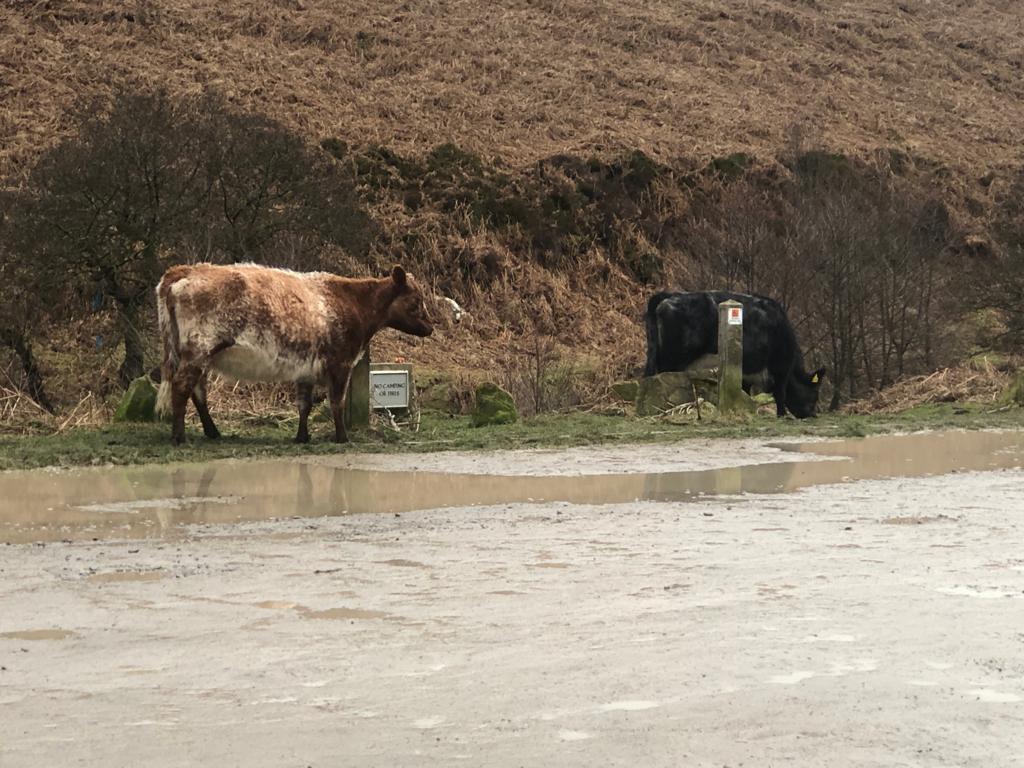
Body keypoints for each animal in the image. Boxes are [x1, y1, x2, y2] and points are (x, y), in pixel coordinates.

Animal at [154, 264, 432, 444]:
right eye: (416, 300)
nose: (430, 327)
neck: (352, 301)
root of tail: (185, 270)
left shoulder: (305, 368)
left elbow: (304, 404)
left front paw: (302, 437)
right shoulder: (340, 363)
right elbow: (337, 402)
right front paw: (342, 438)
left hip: (197, 356)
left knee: (198, 391)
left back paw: (212, 432)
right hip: (198, 351)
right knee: (182, 387)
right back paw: (179, 437)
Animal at [647, 290, 823, 421]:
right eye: (815, 394)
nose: (813, 415)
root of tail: (669, 296)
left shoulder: (746, 372)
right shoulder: (780, 366)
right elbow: (780, 391)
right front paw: (782, 414)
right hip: (673, 359)